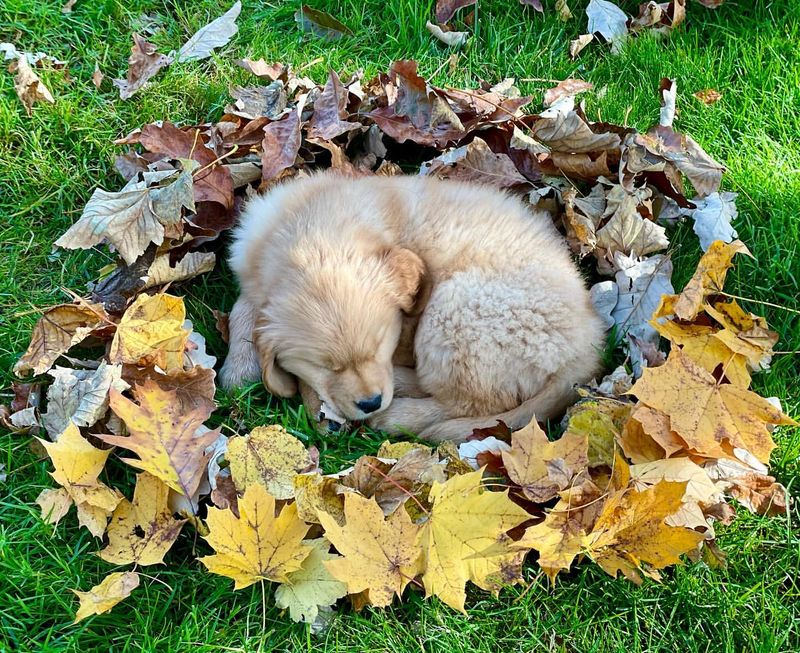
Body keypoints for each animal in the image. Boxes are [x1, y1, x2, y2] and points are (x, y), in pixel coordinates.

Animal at [219, 171, 608, 440]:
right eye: (326, 366)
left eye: (380, 346)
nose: (371, 402)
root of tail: (589, 342)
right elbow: (243, 307)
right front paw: (239, 369)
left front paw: (317, 403)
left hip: (457, 309)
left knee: (467, 402)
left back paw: (396, 414)